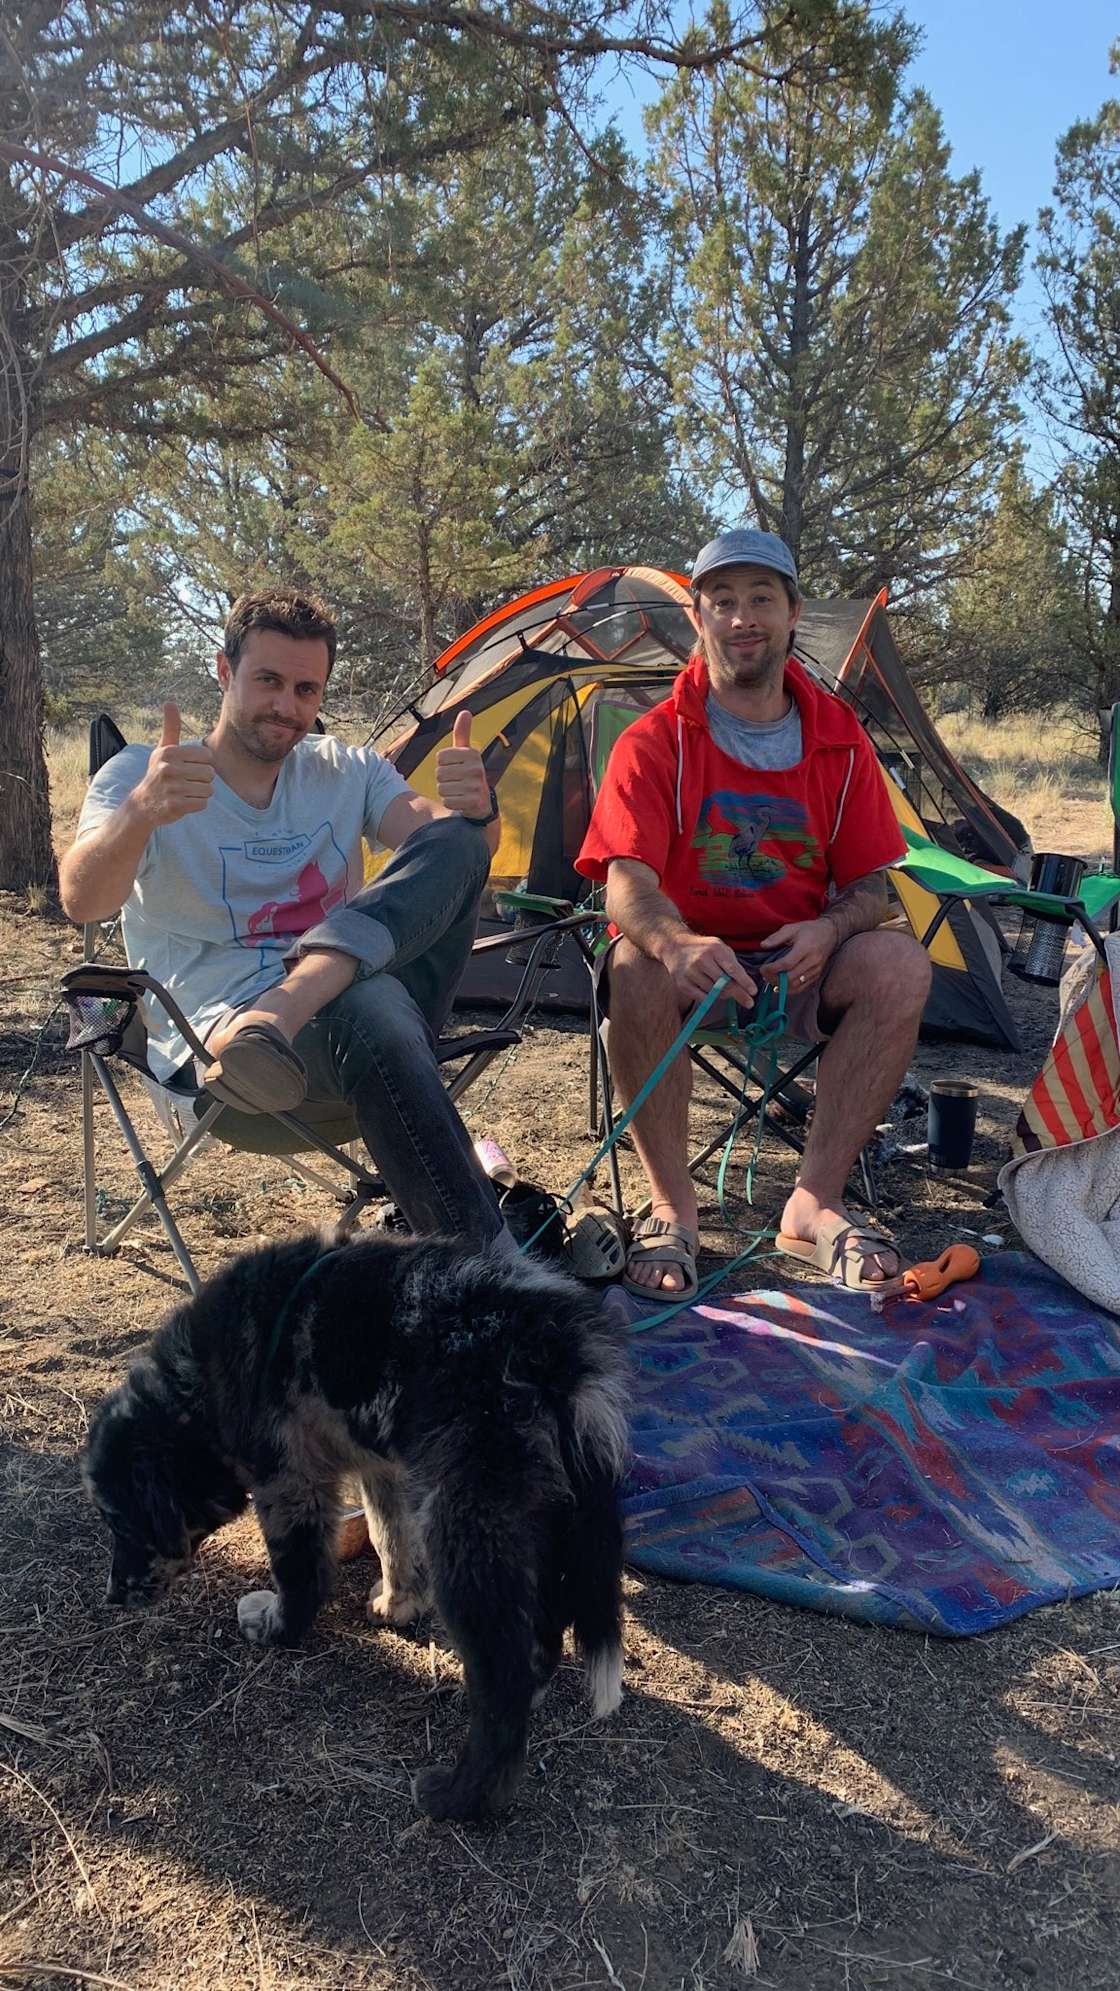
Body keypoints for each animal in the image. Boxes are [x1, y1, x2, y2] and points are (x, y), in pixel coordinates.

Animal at [85, 1234, 632, 1823]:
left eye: (118, 1521)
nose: (111, 1596)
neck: (198, 1384)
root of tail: (553, 1352)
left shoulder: (289, 1481)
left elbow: (299, 1573)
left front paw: (278, 1629)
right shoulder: (381, 1466)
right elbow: (387, 1537)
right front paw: (397, 1604)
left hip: (467, 1526)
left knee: (502, 1677)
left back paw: (460, 1796)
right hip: (547, 1519)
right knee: (539, 1634)